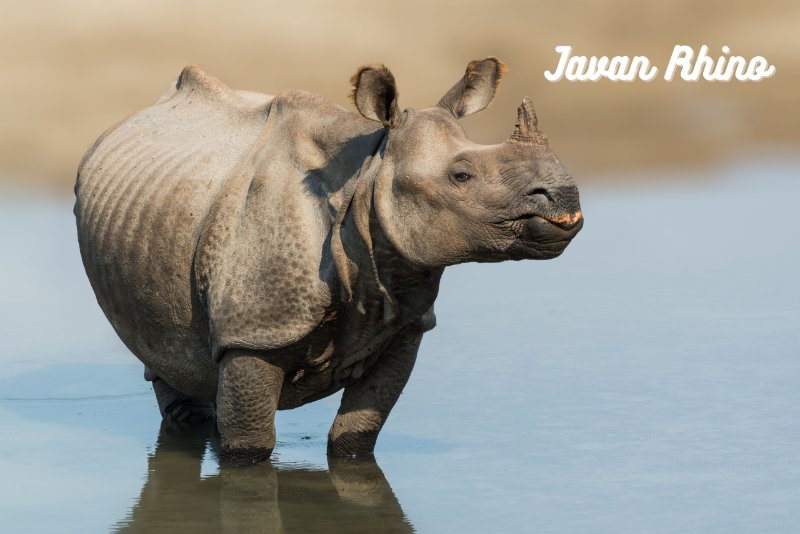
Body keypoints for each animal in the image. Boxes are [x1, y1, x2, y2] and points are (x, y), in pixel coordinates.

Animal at [76, 57, 580, 460]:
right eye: (461, 176)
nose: (566, 197)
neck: (367, 174)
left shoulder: (406, 324)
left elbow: (356, 435)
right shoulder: (252, 332)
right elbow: (249, 447)